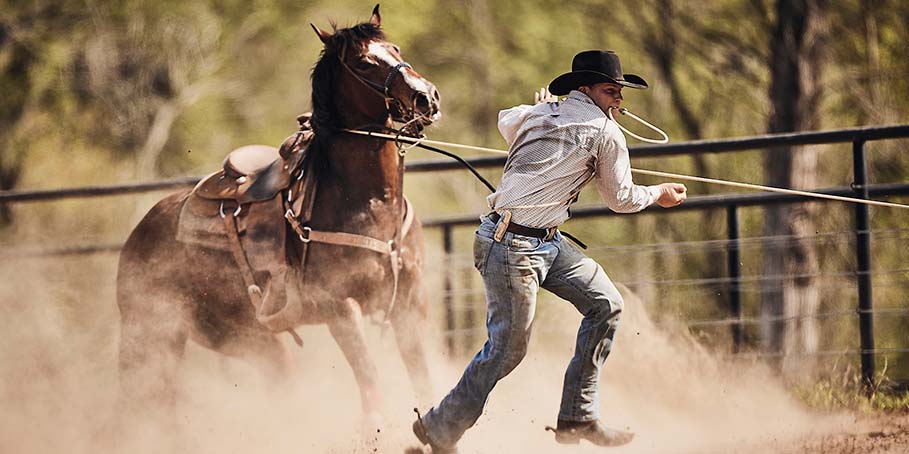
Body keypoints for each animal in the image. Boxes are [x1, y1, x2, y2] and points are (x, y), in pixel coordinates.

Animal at [115, 4, 442, 436]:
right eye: (363, 62)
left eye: (396, 48)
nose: (426, 96)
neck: (368, 204)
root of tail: (139, 232)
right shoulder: (340, 308)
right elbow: (372, 392)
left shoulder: (410, 303)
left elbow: (425, 385)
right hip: (153, 338)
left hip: (249, 339)